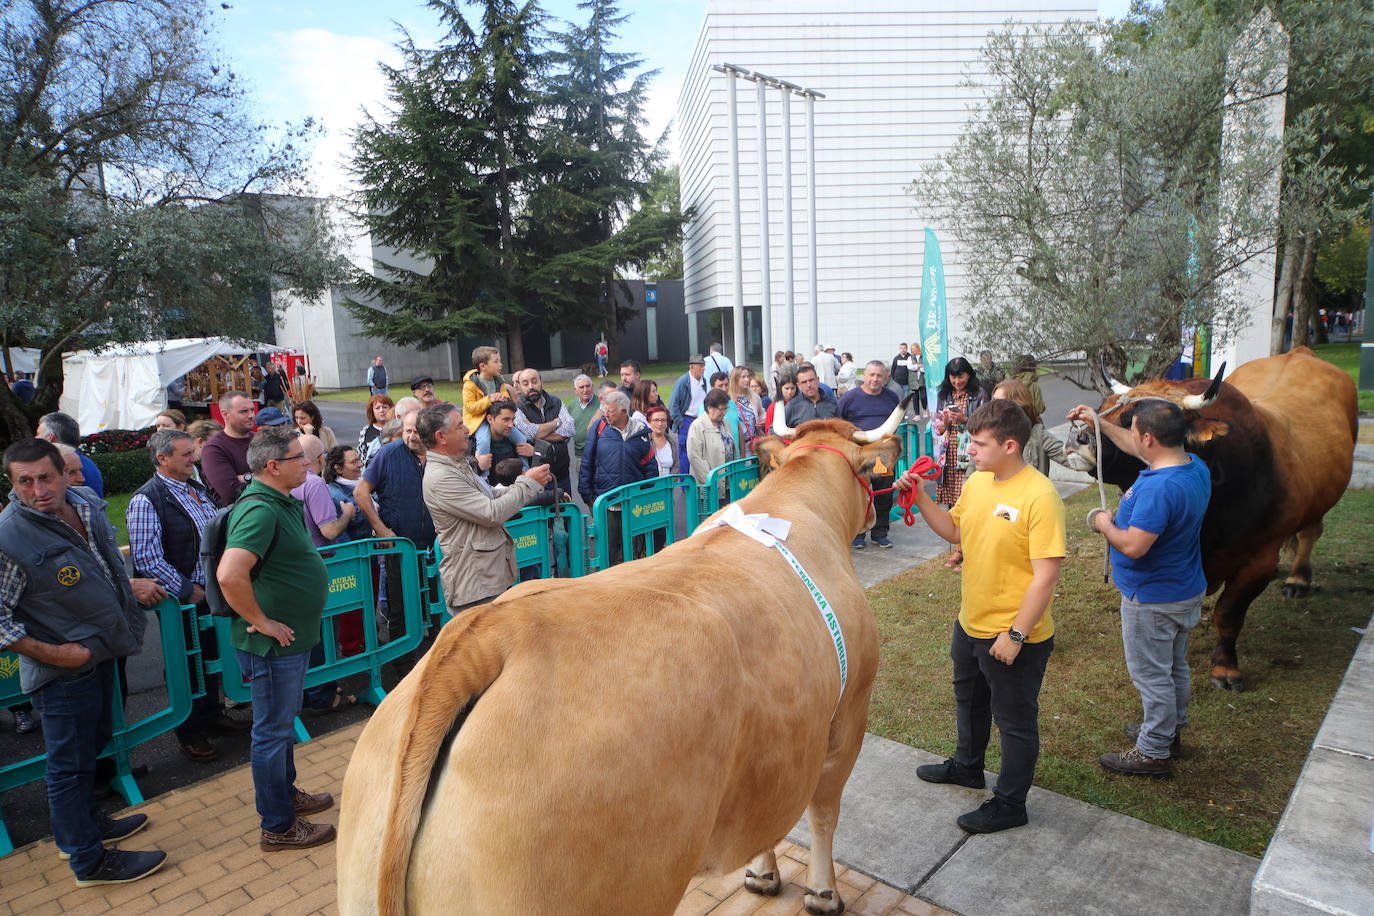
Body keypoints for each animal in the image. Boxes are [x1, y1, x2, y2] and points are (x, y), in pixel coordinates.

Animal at [336, 409, 906, 916]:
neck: (794, 506)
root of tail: (493, 634)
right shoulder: (847, 714)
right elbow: (823, 813)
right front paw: (823, 893)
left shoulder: (781, 746)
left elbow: (766, 819)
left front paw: (762, 873)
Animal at [1071, 347, 1352, 692]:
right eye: (1101, 408)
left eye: (1130, 420)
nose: (1081, 437)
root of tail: (1300, 351)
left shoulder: (1259, 561)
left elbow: (1229, 614)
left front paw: (1226, 668)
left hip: (1320, 501)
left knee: (1310, 533)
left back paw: (1298, 580)